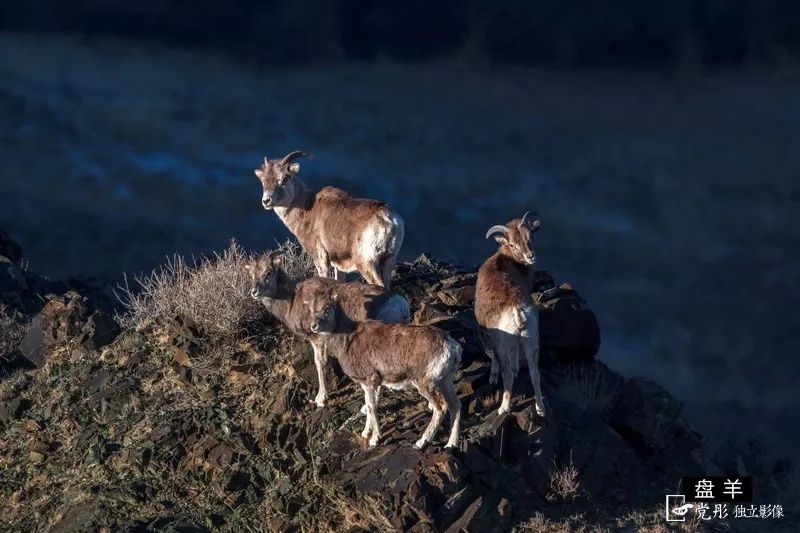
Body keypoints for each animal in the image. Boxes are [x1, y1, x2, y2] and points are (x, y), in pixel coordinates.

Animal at [244, 249, 410, 408]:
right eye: (251, 275)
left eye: (268, 273)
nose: (254, 292)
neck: (292, 300)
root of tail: (400, 305)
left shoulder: (317, 339)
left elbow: (320, 363)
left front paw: (321, 399)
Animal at [255, 151, 406, 286]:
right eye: (263, 181)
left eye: (285, 178)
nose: (266, 201)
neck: (306, 209)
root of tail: (387, 218)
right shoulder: (338, 265)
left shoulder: (320, 259)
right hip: (388, 259)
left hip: (366, 263)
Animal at [304, 288, 462, 446]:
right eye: (311, 309)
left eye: (327, 308)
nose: (314, 326)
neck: (347, 340)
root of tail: (451, 347)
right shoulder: (371, 384)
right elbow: (369, 406)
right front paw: (366, 433)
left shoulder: (369, 381)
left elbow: (372, 407)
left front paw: (374, 439)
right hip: (444, 381)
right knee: (455, 405)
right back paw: (451, 444)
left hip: (425, 384)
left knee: (441, 407)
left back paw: (421, 441)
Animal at [476, 211, 544, 416]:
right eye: (513, 244)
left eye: (530, 238)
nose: (531, 257)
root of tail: (518, 312)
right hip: (532, 343)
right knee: (535, 374)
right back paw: (541, 409)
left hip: (504, 346)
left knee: (507, 377)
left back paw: (503, 408)